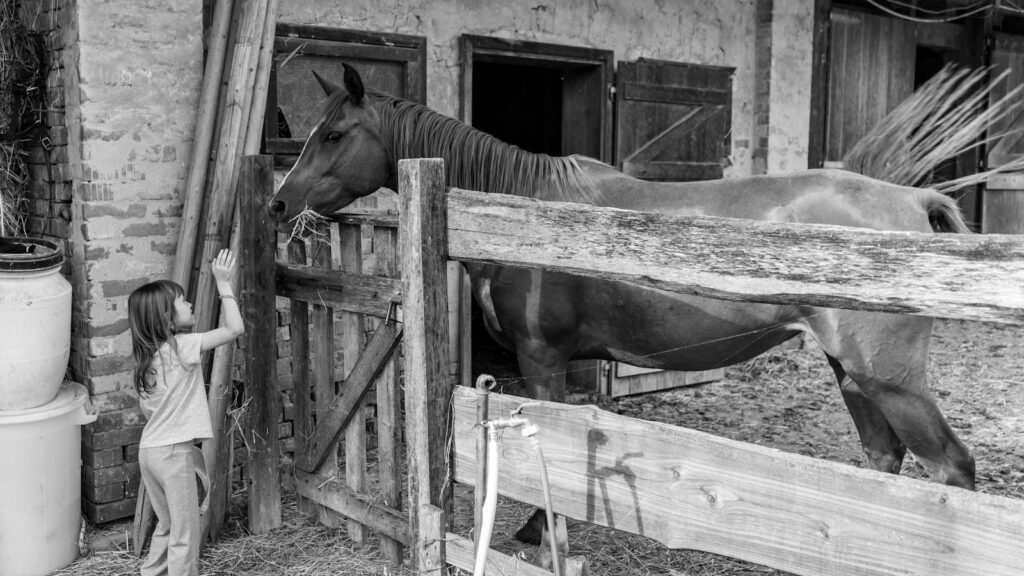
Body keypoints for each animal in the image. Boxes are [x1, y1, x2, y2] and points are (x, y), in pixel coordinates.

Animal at [268, 65, 976, 501]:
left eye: (334, 134)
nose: (279, 205)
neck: (523, 217)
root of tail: (913, 201)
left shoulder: (543, 360)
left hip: (892, 382)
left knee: (951, 468)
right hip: (852, 374)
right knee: (885, 463)